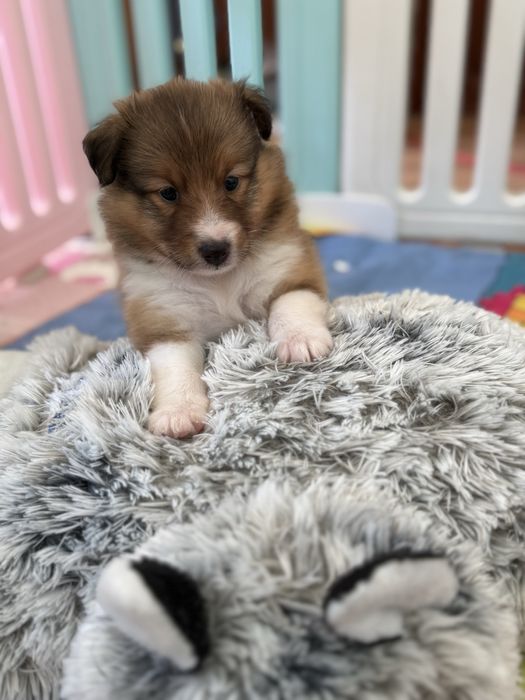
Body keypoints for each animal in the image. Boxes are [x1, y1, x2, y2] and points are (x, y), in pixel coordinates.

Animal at [83, 78, 332, 439]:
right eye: (168, 193)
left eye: (231, 181)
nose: (216, 250)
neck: (218, 281)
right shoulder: (163, 317)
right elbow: (174, 367)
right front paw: (178, 414)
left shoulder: (290, 267)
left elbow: (291, 303)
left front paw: (302, 341)